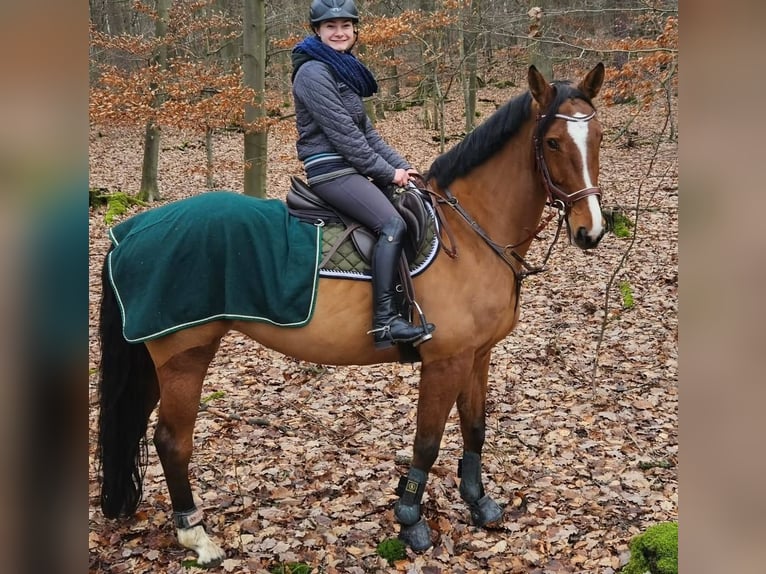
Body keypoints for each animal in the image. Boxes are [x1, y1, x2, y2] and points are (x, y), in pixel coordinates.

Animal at [96, 63, 608, 568]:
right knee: (171, 440)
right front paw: (411, 521)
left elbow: (475, 428)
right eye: (552, 142)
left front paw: (478, 502)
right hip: (185, 354)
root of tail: (131, 230)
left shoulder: (478, 356)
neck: (472, 233)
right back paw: (196, 536)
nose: (592, 231)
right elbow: (427, 441)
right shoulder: (445, 362)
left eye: (599, 136)